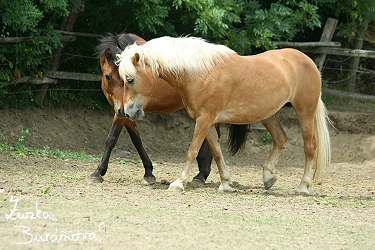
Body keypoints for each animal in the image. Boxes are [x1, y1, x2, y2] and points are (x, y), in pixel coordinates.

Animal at [90, 33, 217, 184]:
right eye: (108, 76)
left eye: (127, 78)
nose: (122, 108)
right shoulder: (127, 113)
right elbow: (137, 140)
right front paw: (148, 171)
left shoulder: (122, 113)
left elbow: (111, 138)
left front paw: (98, 172)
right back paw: (202, 171)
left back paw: (201, 175)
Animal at [117, 36, 332, 194]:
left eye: (130, 79)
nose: (127, 111)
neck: (201, 73)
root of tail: (308, 61)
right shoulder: (209, 122)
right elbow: (217, 153)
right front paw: (226, 184)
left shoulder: (204, 120)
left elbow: (192, 151)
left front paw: (179, 182)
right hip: (269, 115)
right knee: (280, 138)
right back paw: (268, 177)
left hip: (304, 112)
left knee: (310, 147)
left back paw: (302, 187)